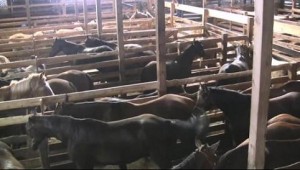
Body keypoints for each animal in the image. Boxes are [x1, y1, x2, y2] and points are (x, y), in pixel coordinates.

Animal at [25, 113, 209, 169]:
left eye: (29, 129)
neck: (72, 133)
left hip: (160, 156)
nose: (32, 146)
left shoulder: (83, 163)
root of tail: (166, 122)